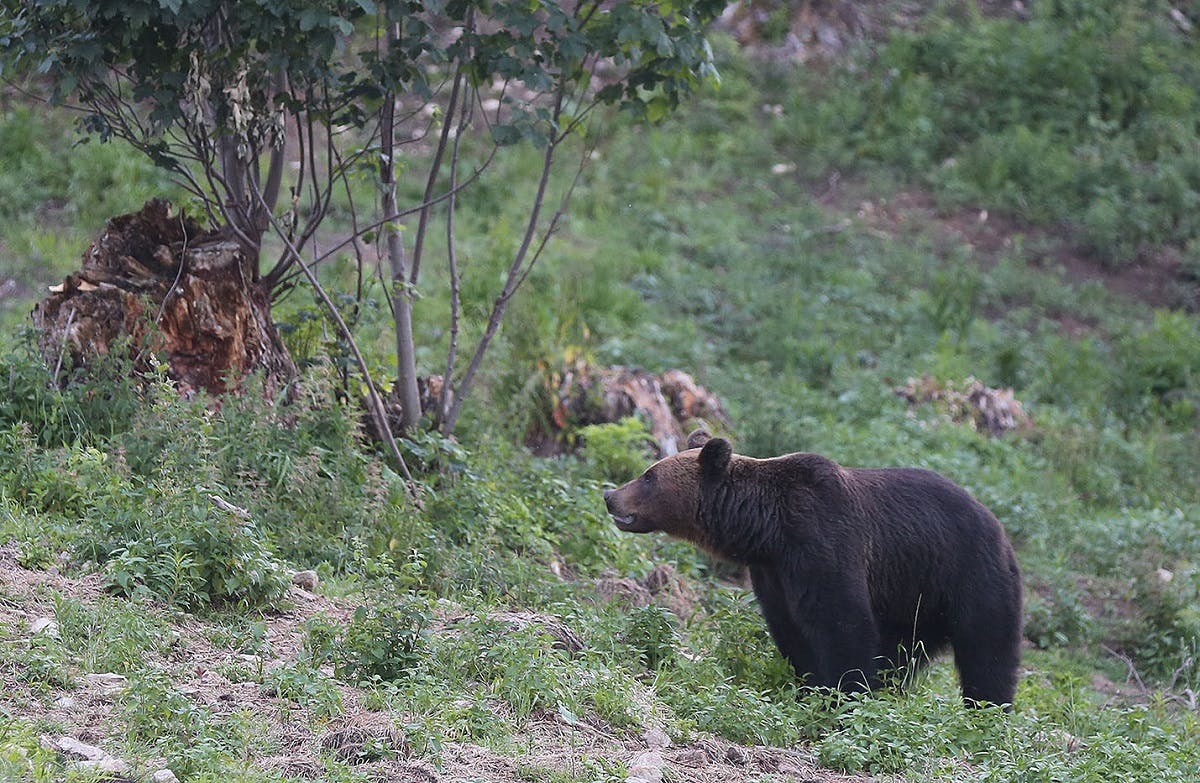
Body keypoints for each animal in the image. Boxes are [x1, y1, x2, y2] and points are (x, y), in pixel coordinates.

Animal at [600, 432, 1022, 706]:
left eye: (649, 476)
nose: (609, 495)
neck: (768, 529)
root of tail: (1002, 531)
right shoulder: (773, 573)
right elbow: (791, 631)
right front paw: (809, 688)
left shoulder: (823, 542)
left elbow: (843, 623)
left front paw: (844, 696)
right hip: (911, 598)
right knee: (901, 653)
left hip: (966, 575)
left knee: (987, 650)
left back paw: (987, 710)